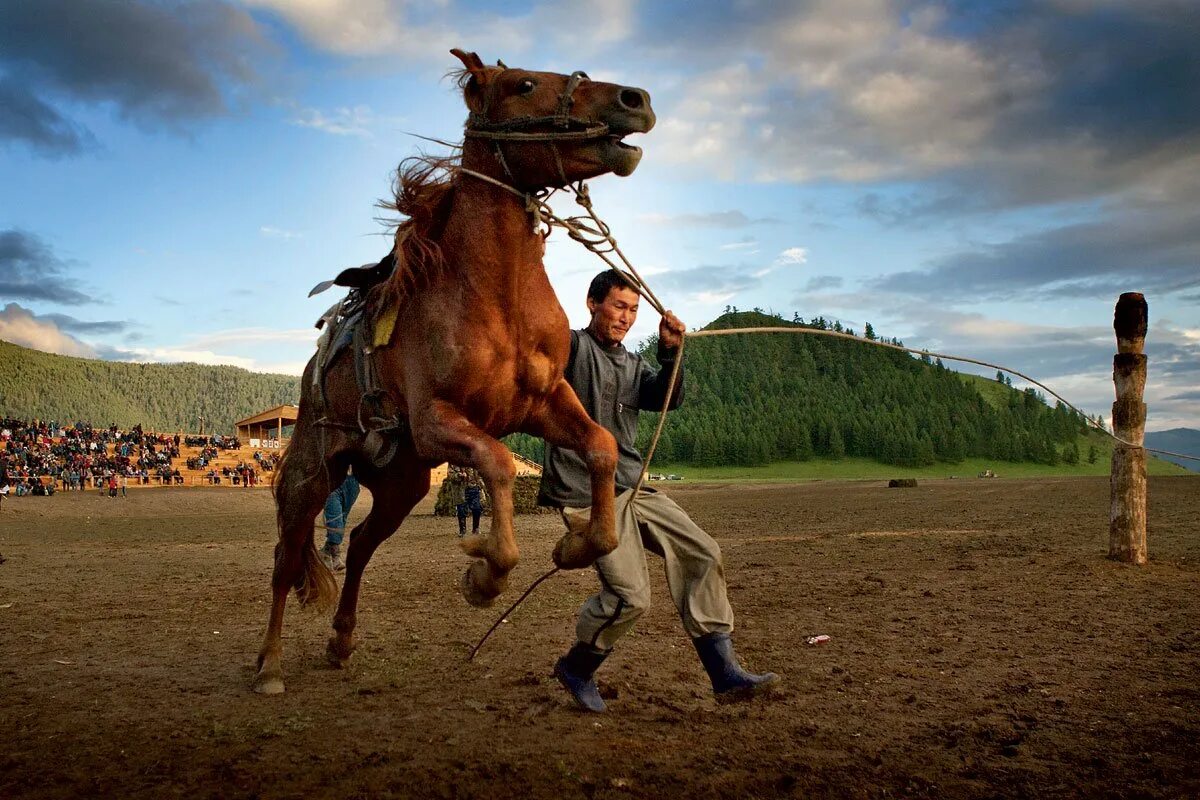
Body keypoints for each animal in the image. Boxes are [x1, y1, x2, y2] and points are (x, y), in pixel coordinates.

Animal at [252, 48, 657, 695]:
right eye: (524, 85)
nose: (635, 100)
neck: (492, 295)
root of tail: (316, 367)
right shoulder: (440, 420)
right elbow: (498, 462)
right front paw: (484, 577)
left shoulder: (545, 401)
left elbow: (598, 446)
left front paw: (576, 546)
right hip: (315, 471)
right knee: (287, 558)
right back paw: (268, 663)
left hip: (403, 482)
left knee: (360, 544)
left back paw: (341, 642)